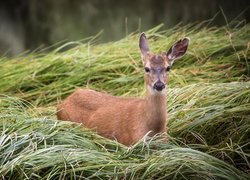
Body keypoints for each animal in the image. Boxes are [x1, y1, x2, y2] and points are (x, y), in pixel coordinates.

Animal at [56, 33, 189, 146]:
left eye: (168, 68)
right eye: (146, 68)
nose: (159, 85)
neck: (153, 128)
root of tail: (62, 103)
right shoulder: (131, 141)